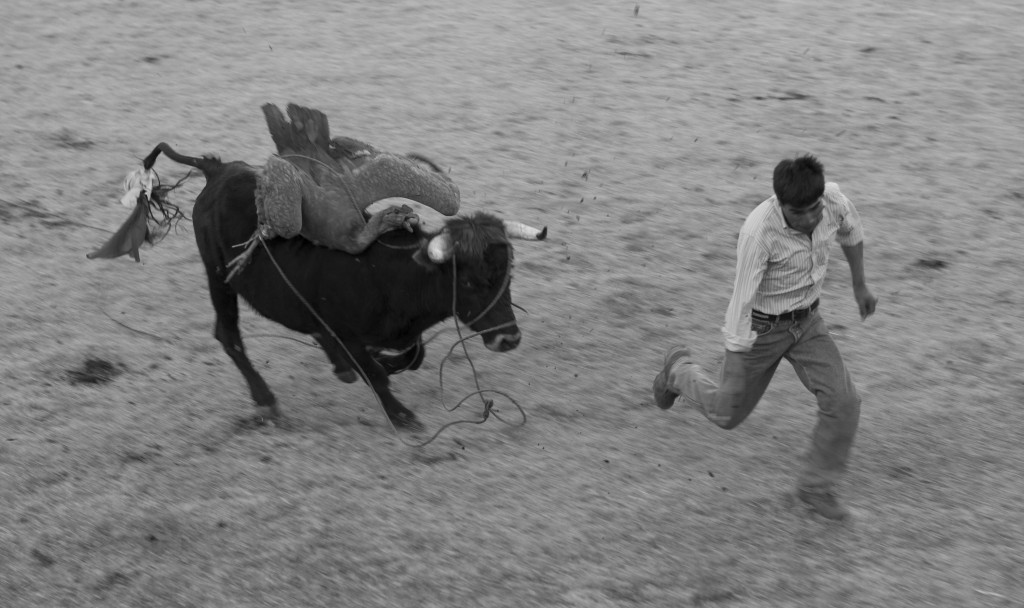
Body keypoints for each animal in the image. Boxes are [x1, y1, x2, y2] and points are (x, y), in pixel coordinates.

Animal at [143, 143, 548, 427]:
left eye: (508, 275)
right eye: (469, 281)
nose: (509, 339)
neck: (388, 275)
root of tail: (218, 170)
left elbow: (413, 356)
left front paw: (385, 364)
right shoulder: (348, 332)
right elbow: (377, 374)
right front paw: (401, 416)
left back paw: (337, 367)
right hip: (218, 279)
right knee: (228, 336)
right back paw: (266, 399)